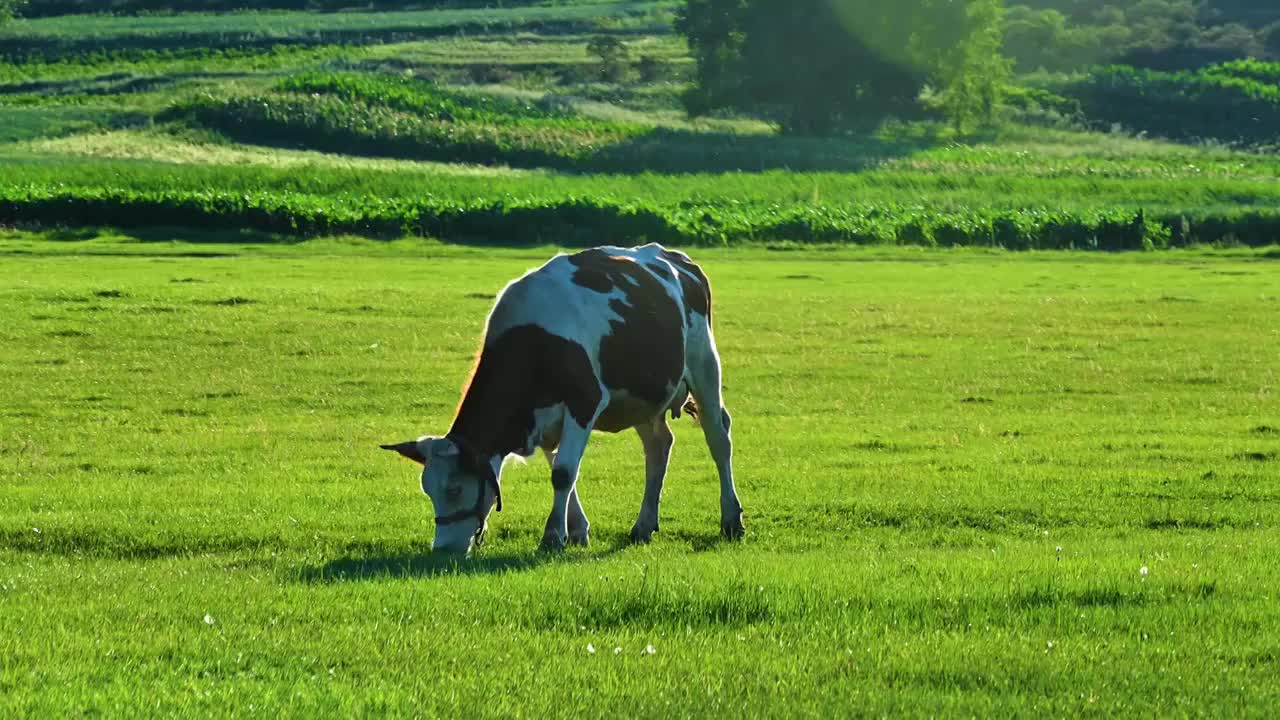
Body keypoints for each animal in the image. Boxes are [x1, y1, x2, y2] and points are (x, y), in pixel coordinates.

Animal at [376, 243, 742, 550]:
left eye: (454, 488)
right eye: (428, 489)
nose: (442, 549)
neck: (533, 340)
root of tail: (677, 259)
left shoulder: (586, 401)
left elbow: (563, 471)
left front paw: (553, 535)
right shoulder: (543, 417)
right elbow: (558, 466)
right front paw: (577, 530)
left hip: (705, 366)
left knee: (718, 438)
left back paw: (731, 519)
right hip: (644, 394)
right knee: (658, 446)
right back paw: (644, 524)